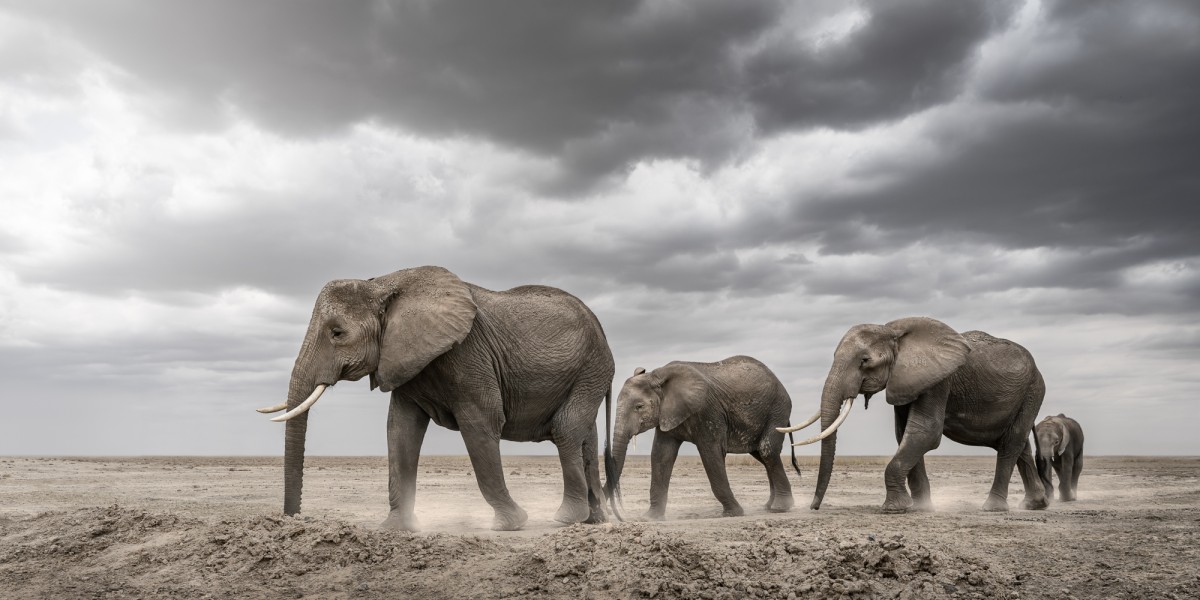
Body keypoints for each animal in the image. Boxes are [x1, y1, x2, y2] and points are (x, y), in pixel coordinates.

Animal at [264, 265, 619, 532]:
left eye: (337, 333)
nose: (293, 520)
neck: (382, 284)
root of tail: (600, 326)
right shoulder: (404, 359)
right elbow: (400, 430)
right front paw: (396, 528)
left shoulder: (469, 355)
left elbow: (480, 424)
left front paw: (511, 524)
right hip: (587, 373)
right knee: (585, 435)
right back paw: (594, 521)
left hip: (591, 368)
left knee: (566, 429)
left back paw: (566, 519)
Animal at [604, 355, 801, 520]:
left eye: (639, 406)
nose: (612, 513)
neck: (657, 375)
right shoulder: (667, 413)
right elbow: (661, 455)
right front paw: (650, 518)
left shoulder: (708, 411)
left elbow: (711, 453)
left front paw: (733, 513)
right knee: (761, 455)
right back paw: (769, 506)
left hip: (778, 408)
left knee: (767, 451)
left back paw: (780, 508)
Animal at [777, 316, 1051, 513]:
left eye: (864, 361)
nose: (813, 507)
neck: (893, 332)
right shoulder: (905, 380)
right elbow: (904, 434)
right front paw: (920, 508)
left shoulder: (940, 380)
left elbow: (924, 431)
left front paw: (894, 509)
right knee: (1018, 444)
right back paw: (1035, 505)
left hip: (1033, 390)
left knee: (1011, 443)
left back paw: (993, 508)